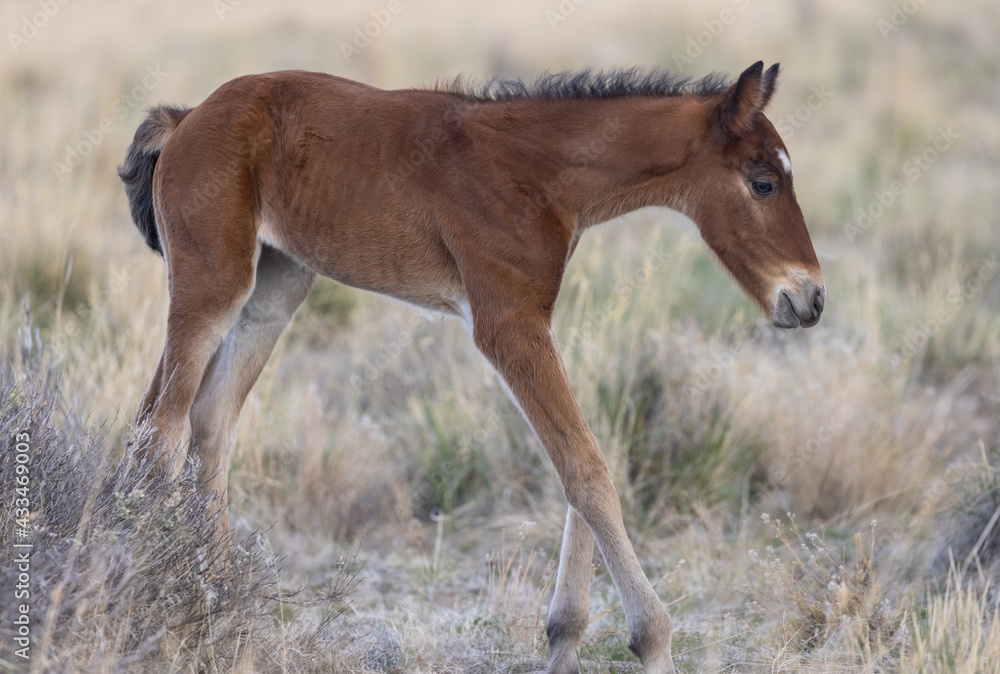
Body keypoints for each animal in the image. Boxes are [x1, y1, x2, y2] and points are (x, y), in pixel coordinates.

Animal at [119, 61, 824, 674]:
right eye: (762, 182)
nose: (811, 299)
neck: (539, 172)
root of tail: (186, 117)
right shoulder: (506, 323)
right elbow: (585, 467)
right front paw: (651, 642)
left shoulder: (535, 319)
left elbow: (582, 458)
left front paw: (563, 639)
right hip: (212, 283)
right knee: (161, 429)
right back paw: (164, 600)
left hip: (276, 287)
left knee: (209, 424)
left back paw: (224, 609)